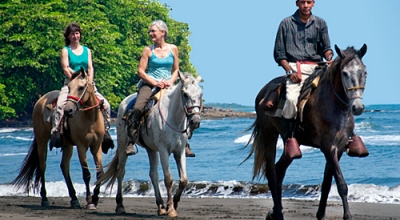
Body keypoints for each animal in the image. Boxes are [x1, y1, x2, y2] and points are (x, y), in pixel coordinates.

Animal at [13, 68, 104, 210]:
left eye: (81, 87)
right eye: (69, 87)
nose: (68, 111)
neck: (90, 119)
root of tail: (40, 100)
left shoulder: (96, 146)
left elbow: (100, 173)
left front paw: (95, 199)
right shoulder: (81, 147)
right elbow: (86, 174)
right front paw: (90, 201)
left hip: (67, 145)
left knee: (64, 166)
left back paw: (74, 199)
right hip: (42, 140)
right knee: (42, 166)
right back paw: (45, 199)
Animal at [96, 72, 202, 217]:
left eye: (200, 94)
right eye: (185, 94)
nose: (195, 121)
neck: (173, 118)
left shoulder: (179, 151)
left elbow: (183, 179)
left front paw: (173, 204)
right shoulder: (163, 151)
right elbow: (168, 179)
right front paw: (171, 209)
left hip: (151, 149)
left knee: (153, 174)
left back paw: (160, 206)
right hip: (123, 145)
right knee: (120, 172)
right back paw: (120, 205)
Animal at [244, 44, 366, 220]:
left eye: (364, 72)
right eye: (344, 73)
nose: (357, 107)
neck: (335, 106)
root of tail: (263, 91)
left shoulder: (339, 149)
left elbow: (327, 183)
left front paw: (321, 214)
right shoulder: (328, 147)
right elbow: (341, 184)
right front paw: (347, 216)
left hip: (291, 143)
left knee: (279, 170)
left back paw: (275, 211)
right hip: (269, 135)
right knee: (272, 174)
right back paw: (278, 214)